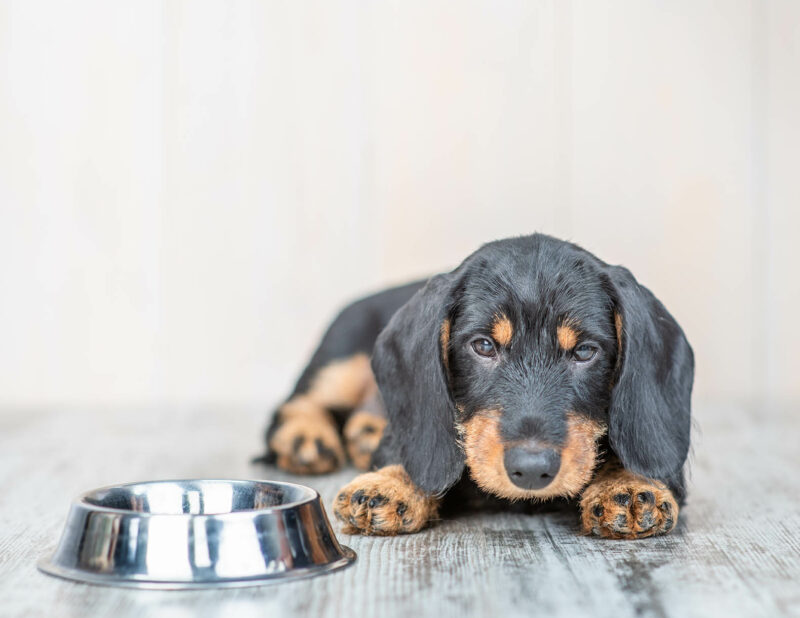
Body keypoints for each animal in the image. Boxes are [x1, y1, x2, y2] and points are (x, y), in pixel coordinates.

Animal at [258, 233, 692, 536]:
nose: (531, 470)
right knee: (291, 406)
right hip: (340, 358)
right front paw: (390, 482)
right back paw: (306, 439)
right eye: (483, 346)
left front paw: (630, 484)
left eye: (585, 351)